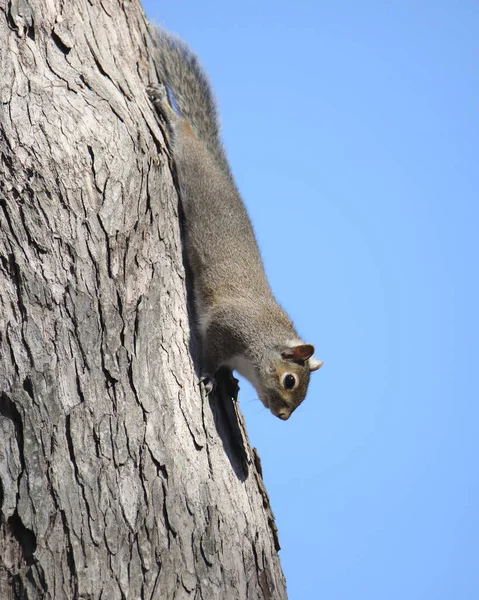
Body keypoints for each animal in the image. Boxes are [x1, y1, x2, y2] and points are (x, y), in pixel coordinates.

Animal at [149, 28, 322, 420]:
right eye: (290, 380)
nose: (284, 416)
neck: (262, 337)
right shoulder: (225, 328)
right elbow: (211, 355)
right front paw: (210, 376)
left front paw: (230, 381)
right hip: (192, 165)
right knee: (184, 134)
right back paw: (166, 109)